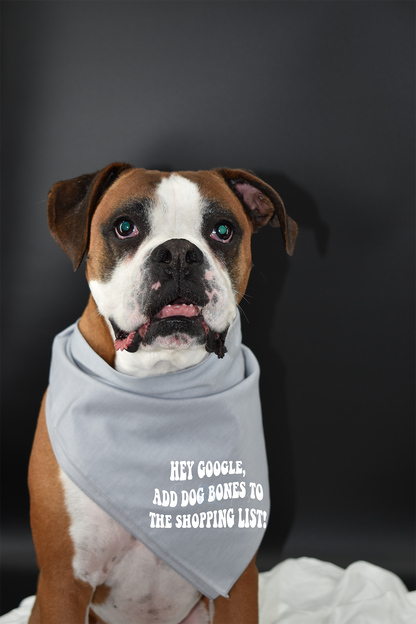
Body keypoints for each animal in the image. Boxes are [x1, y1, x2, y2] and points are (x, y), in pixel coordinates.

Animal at [28, 166, 296, 624]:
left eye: (222, 230)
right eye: (125, 227)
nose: (178, 253)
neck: (159, 384)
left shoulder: (238, 585)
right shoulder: (64, 582)